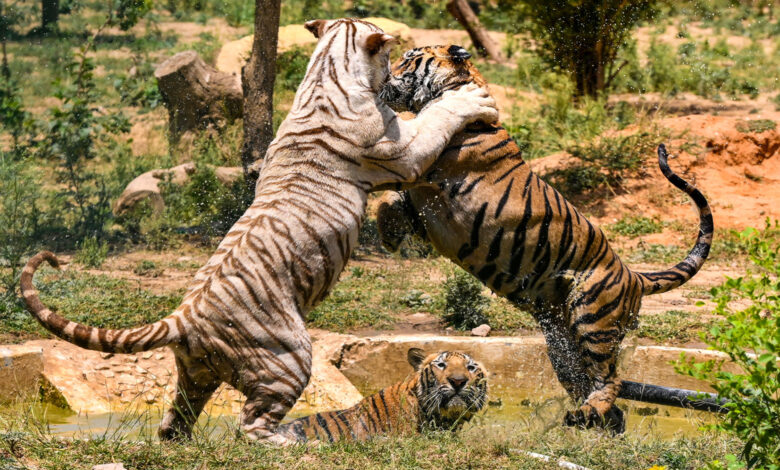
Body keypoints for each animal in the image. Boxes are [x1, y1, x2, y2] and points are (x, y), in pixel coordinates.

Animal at [376, 45, 714, 433]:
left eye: (408, 58)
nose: (382, 76)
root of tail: (633, 275)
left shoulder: (426, 174)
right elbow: (389, 201)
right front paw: (388, 235)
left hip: (593, 322)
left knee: (610, 379)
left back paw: (586, 414)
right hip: (562, 343)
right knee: (596, 393)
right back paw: (587, 421)